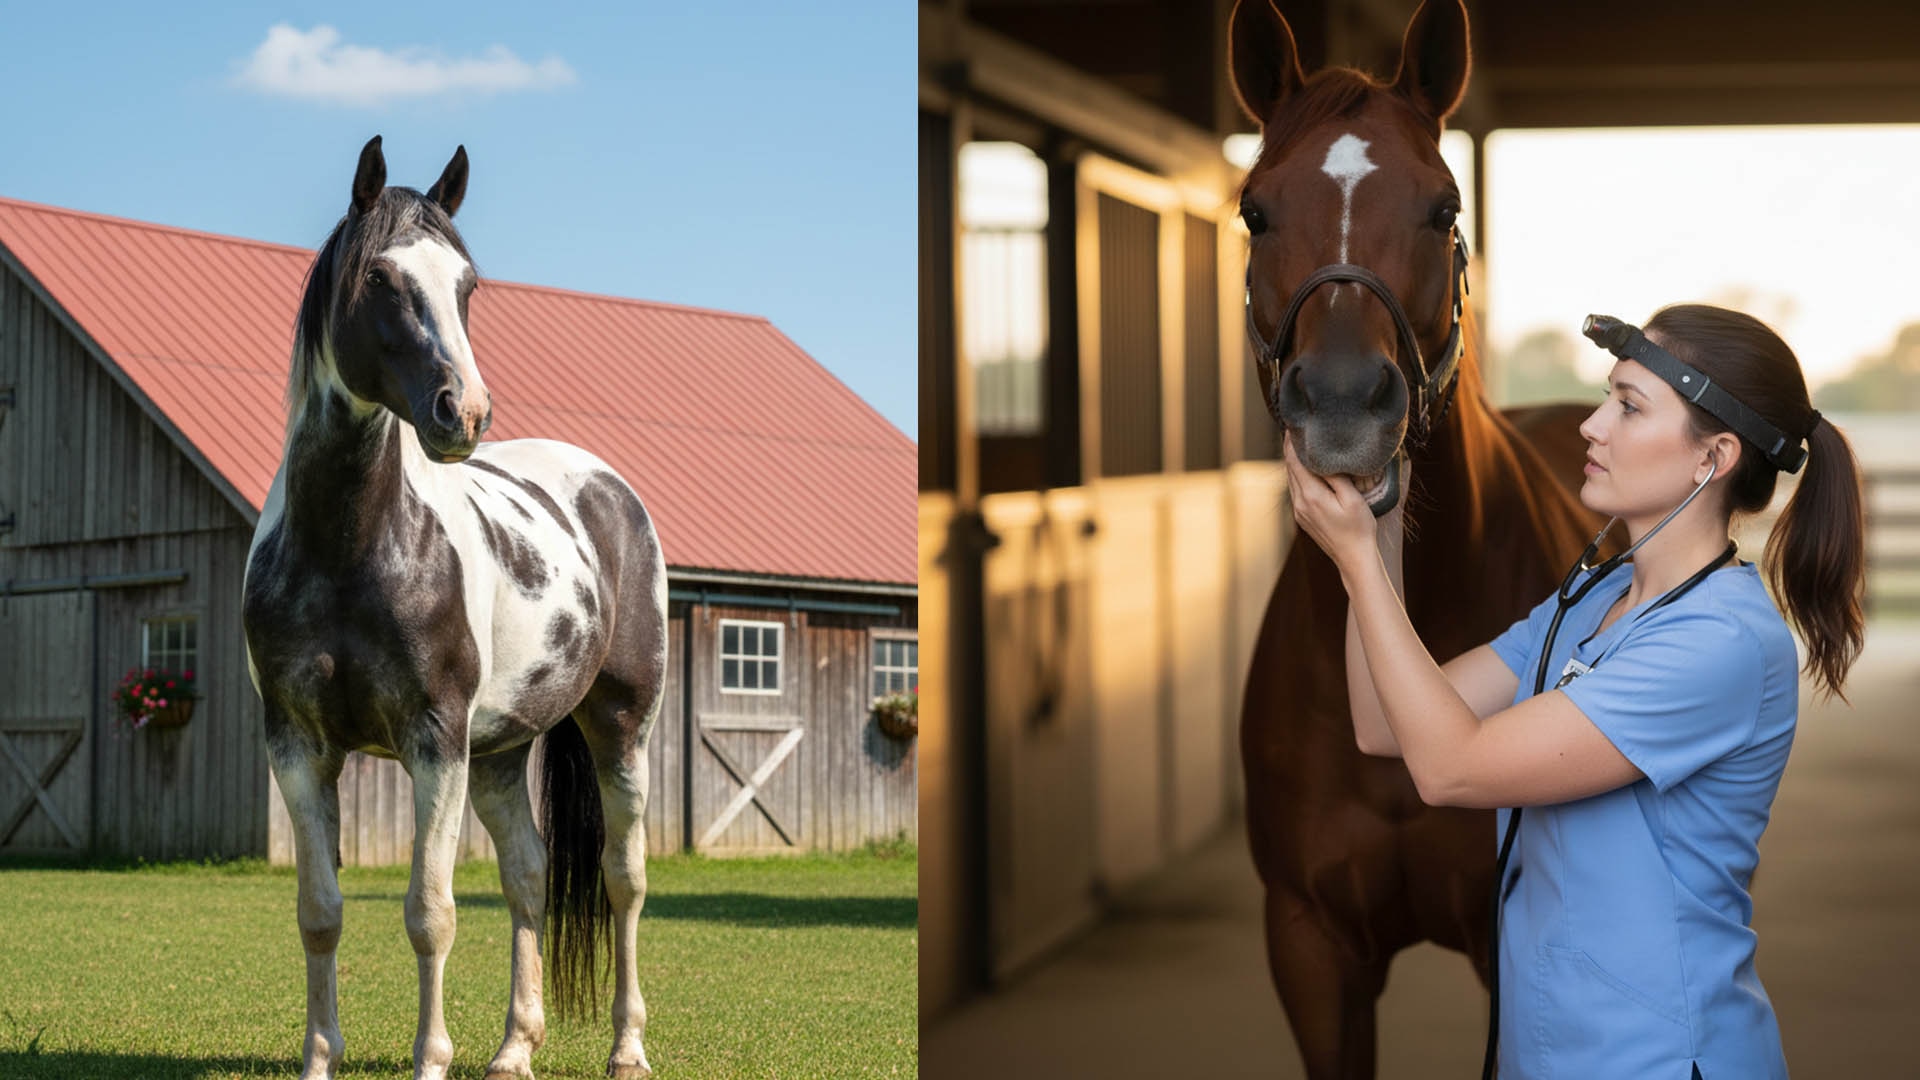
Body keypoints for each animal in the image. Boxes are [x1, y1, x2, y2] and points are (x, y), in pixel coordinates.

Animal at [242, 136, 666, 1080]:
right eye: (380, 278)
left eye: (467, 284)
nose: (462, 412)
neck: (353, 546)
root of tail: (607, 486)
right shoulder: (297, 745)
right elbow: (320, 913)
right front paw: (319, 1058)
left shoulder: (434, 741)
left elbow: (429, 914)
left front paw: (429, 1059)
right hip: (502, 754)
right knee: (529, 878)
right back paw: (514, 1048)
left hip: (619, 728)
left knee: (623, 880)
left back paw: (626, 1047)